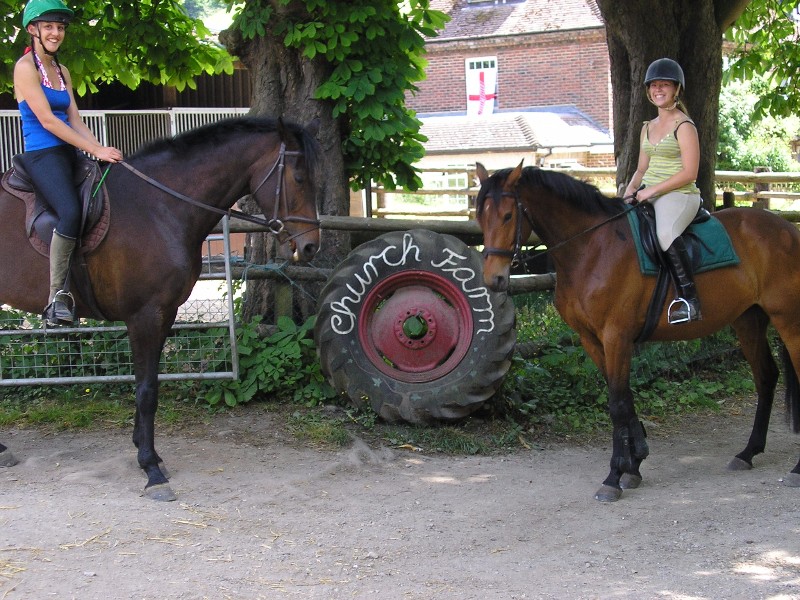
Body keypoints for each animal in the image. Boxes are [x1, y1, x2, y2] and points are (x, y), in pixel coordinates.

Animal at [0, 115, 322, 500]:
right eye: (299, 177)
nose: (310, 247)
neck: (158, 205)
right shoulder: (145, 316)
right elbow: (146, 391)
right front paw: (150, 469)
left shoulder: (164, 314)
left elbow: (148, 382)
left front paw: (147, 452)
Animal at [478, 161, 800, 502]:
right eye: (480, 216)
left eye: (508, 216)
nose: (494, 279)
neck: (591, 248)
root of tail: (786, 229)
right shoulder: (592, 340)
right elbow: (622, 397)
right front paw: (634, 464)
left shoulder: (616, 337)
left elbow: (617, 403)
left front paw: (614, 476)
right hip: (748, 321)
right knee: (766, 377)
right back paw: (748, 453)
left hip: (788, 319)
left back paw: (795, 469)